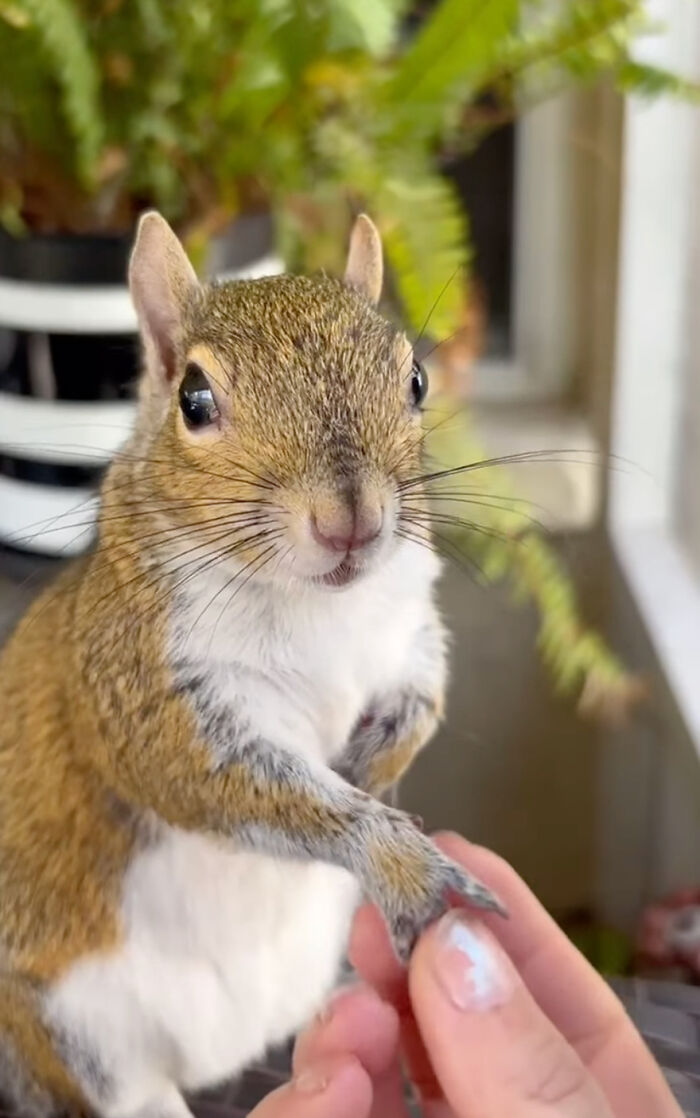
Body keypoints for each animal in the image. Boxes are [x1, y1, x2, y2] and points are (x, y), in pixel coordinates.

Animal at [0, 211, 500, 1118]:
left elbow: (422, 700)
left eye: (415, 379)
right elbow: (245, 789)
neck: (320, 608)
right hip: (74, 1045)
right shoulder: (148, 691)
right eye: (194, 401)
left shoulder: (409, 631)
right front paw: (407, 867)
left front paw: (377, 762)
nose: (351, 521)